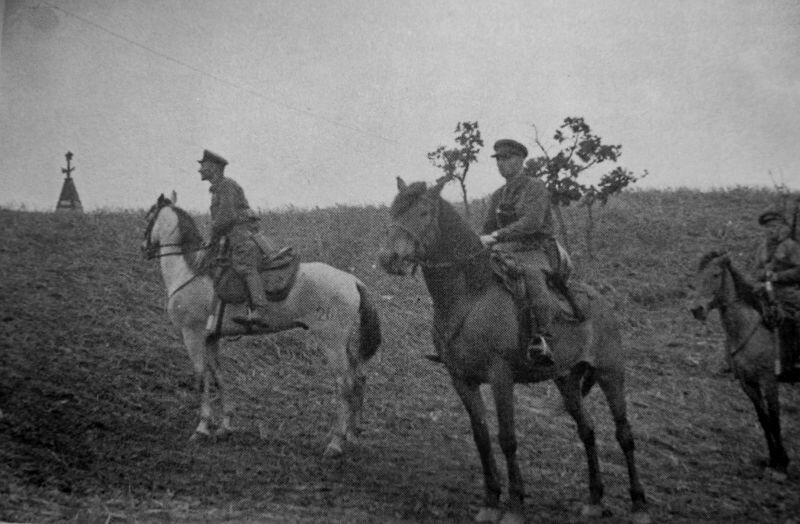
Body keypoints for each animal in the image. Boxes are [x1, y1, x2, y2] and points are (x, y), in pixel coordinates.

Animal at [141, 194, 382, 456]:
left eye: (149, 216)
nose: (144, 248)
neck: (189, 271)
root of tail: (352, 280)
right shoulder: (210, 337)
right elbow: (218, 376)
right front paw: (225, 425)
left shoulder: (192, 334)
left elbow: (201, 376)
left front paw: (202, 428)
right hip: (344, 344)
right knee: (359, 378)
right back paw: (353, 435)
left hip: (332, 343)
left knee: (344, 384)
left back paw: (336, 442)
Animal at [376, 178, 648, 520]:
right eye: (393, 210)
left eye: (424, 212)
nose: (388, 258)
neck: (471, 295)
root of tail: (600, 301)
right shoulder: (461, 379)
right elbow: (481, 437)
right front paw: (491, 501)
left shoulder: (500, 377)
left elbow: (507, 438)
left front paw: (516, 505)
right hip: (566, 380)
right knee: (587, 430)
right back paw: (594, 499)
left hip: (611, 373)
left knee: (624, 434)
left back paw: (639, 504)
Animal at [692, 250, 792, 478]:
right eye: (698, 275)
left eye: (715, 275)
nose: (696, 309)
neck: (750, 329)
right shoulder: (748, 383)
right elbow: (764, 419)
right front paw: (773, 459)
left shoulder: (769, 381)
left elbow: (775, 419)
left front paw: (782, 463)